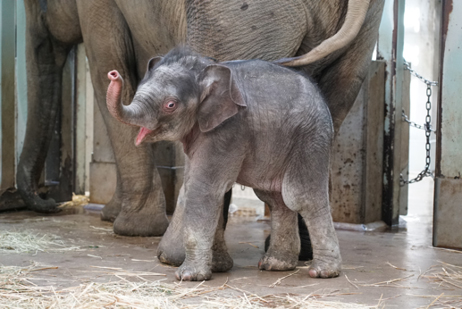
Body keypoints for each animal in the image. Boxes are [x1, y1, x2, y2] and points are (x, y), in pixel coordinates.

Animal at [17, 0, 382, 238]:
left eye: (40, 7)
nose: (49, 200)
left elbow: (106, 61)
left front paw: (131, 228)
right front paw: (113, 216)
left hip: (239, 21)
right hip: (361, 37)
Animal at [106, 45, 342, 280]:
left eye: (170, 105)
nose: (113, 74)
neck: (205, 70)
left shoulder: (228, 130)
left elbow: (204, 190)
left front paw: (189, 276)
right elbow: (204, 190)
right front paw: (217, 267)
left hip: (310, 138)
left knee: (301, 197)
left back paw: (323, 272)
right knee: (276, 199)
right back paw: (276, 265)